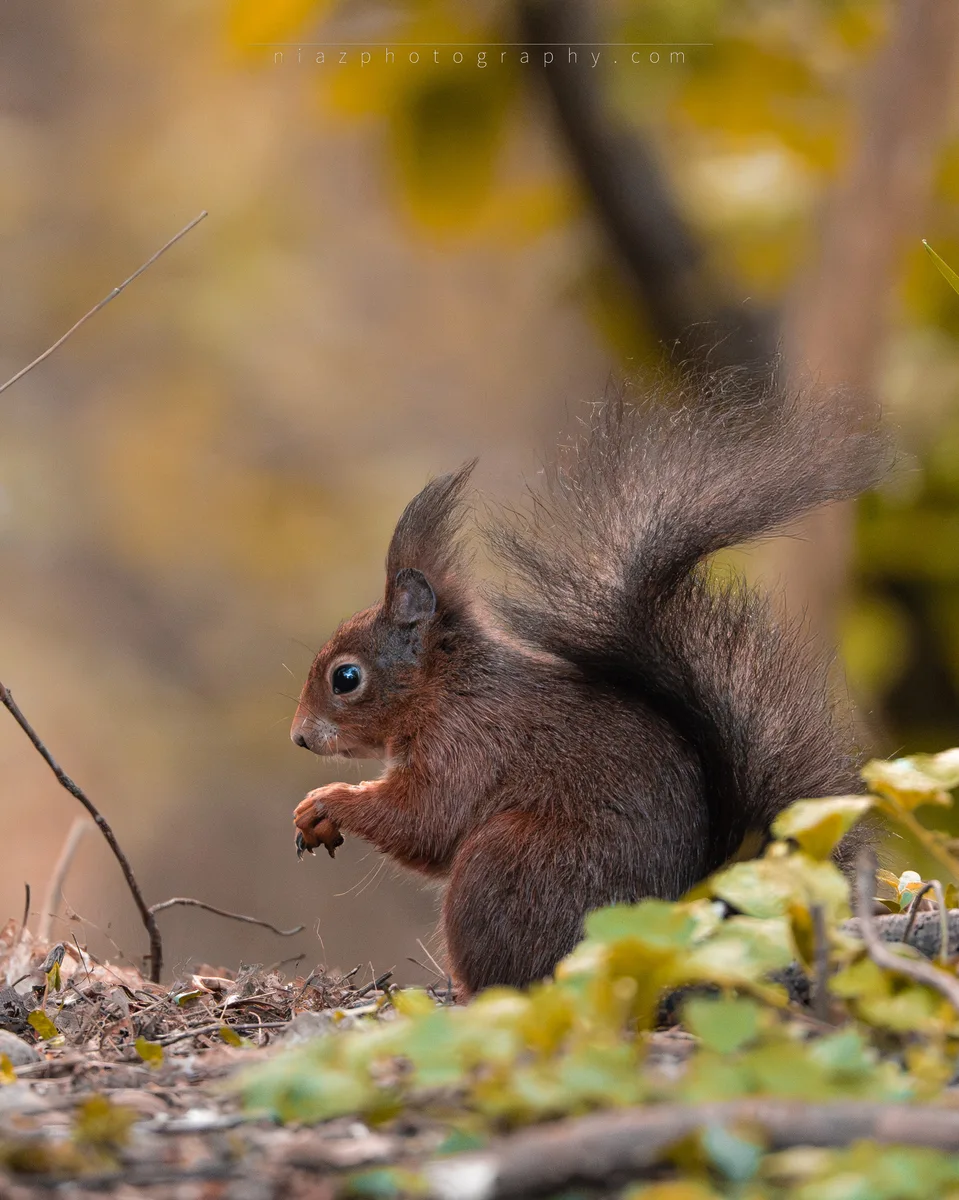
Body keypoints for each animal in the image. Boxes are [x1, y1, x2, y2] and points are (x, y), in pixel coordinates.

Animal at [290, 373, 889, 997]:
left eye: (346, 678)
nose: (300, 737)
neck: (448, 689)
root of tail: (679, 931)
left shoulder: (469, 745)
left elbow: (424, 819)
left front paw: (328, 800)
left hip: (509, 865)